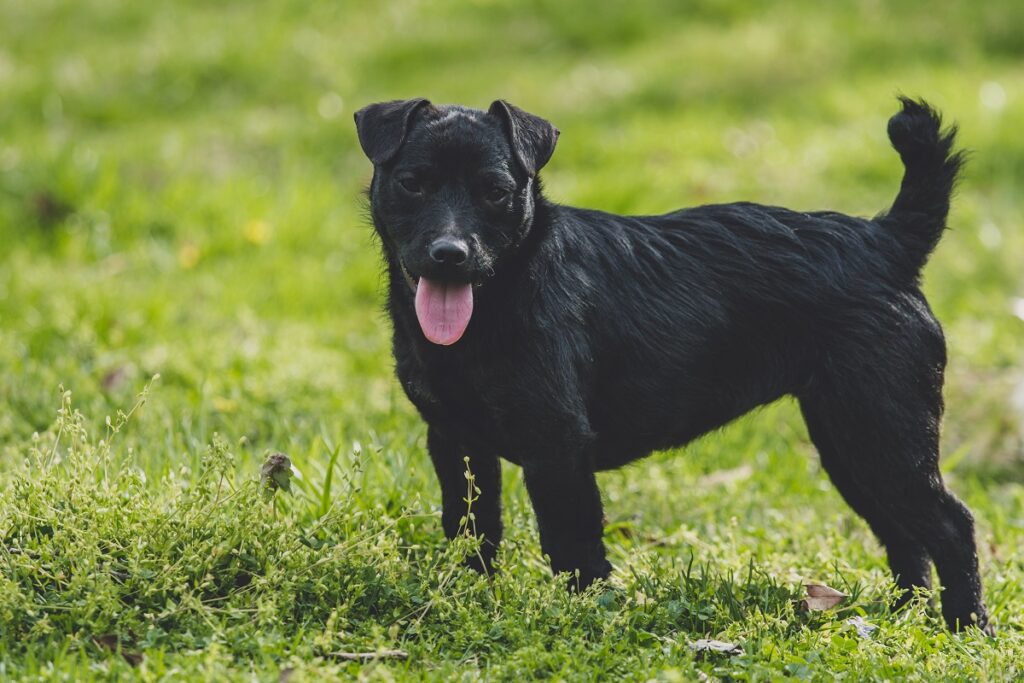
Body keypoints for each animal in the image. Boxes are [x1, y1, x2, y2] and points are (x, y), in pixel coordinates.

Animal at [356, 94, 987, 630]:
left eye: (494, 191)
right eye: (412, 184)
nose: (450, 254)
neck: (494, 307)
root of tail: (888, 240)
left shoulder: (556, 448)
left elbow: (573, 548)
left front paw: (583, 619)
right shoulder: (457, 441)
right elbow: (472, 530)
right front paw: (471, 596)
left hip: (883, 434)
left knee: (952, 525)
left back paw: (966, 628)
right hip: (851, 444)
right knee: (904, 533)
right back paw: (904, 614)